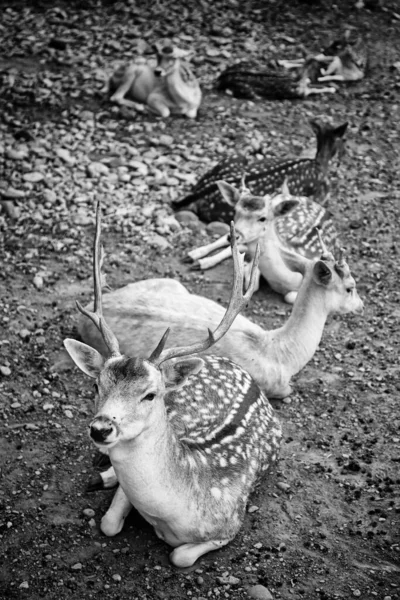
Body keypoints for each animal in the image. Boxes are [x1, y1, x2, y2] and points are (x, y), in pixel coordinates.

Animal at [64, 202, 284, 568]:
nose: (101, 428)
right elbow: (109, 523)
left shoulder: (230, 525)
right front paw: (107, 483)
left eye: (150, 395)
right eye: (96, 386)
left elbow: (179, 556)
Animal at [173, 119, 348, 225]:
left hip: (234, 158)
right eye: (343, 140)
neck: (320, 164)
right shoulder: (319, 198)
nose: (343, 157)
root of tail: (198, 194)